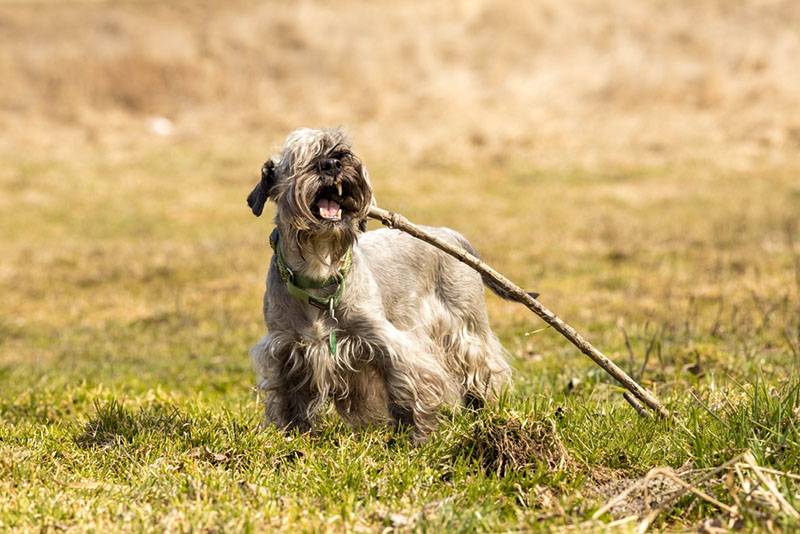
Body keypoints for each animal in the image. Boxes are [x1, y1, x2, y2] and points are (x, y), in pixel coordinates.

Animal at [245, 127, 512, 442]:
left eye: (343, 149)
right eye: (300, 157)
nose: (334, 162)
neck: (319, 270)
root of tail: (450, 235)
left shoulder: (386, 340)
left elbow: (407, 384)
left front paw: (416, 436)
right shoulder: (286, 347)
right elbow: (290, 396)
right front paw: (293, 433)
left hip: (466, 326)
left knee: (482, 367)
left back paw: (482, 410)